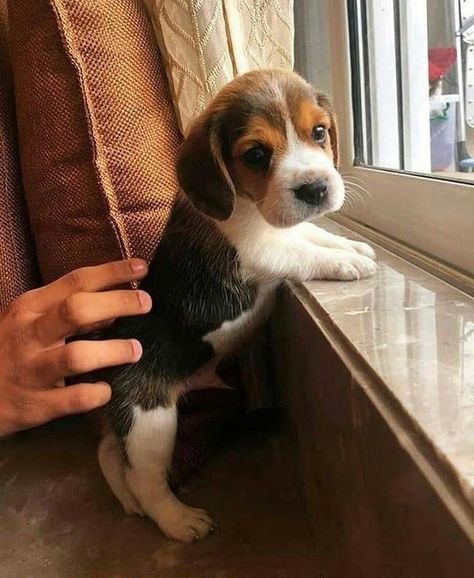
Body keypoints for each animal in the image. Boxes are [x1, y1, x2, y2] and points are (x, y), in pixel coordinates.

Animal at [97, 67, 378, 540]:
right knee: (145, 478)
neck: (249, 205)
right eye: (257, 154)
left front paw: (351, 245)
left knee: (109, 452)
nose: (316, 188)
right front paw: (345, 262)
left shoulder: (285, 229)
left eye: (319, 132)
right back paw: (177, 520)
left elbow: (312, 233)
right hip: (150, 419)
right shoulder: (254, 253)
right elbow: (302, 251)